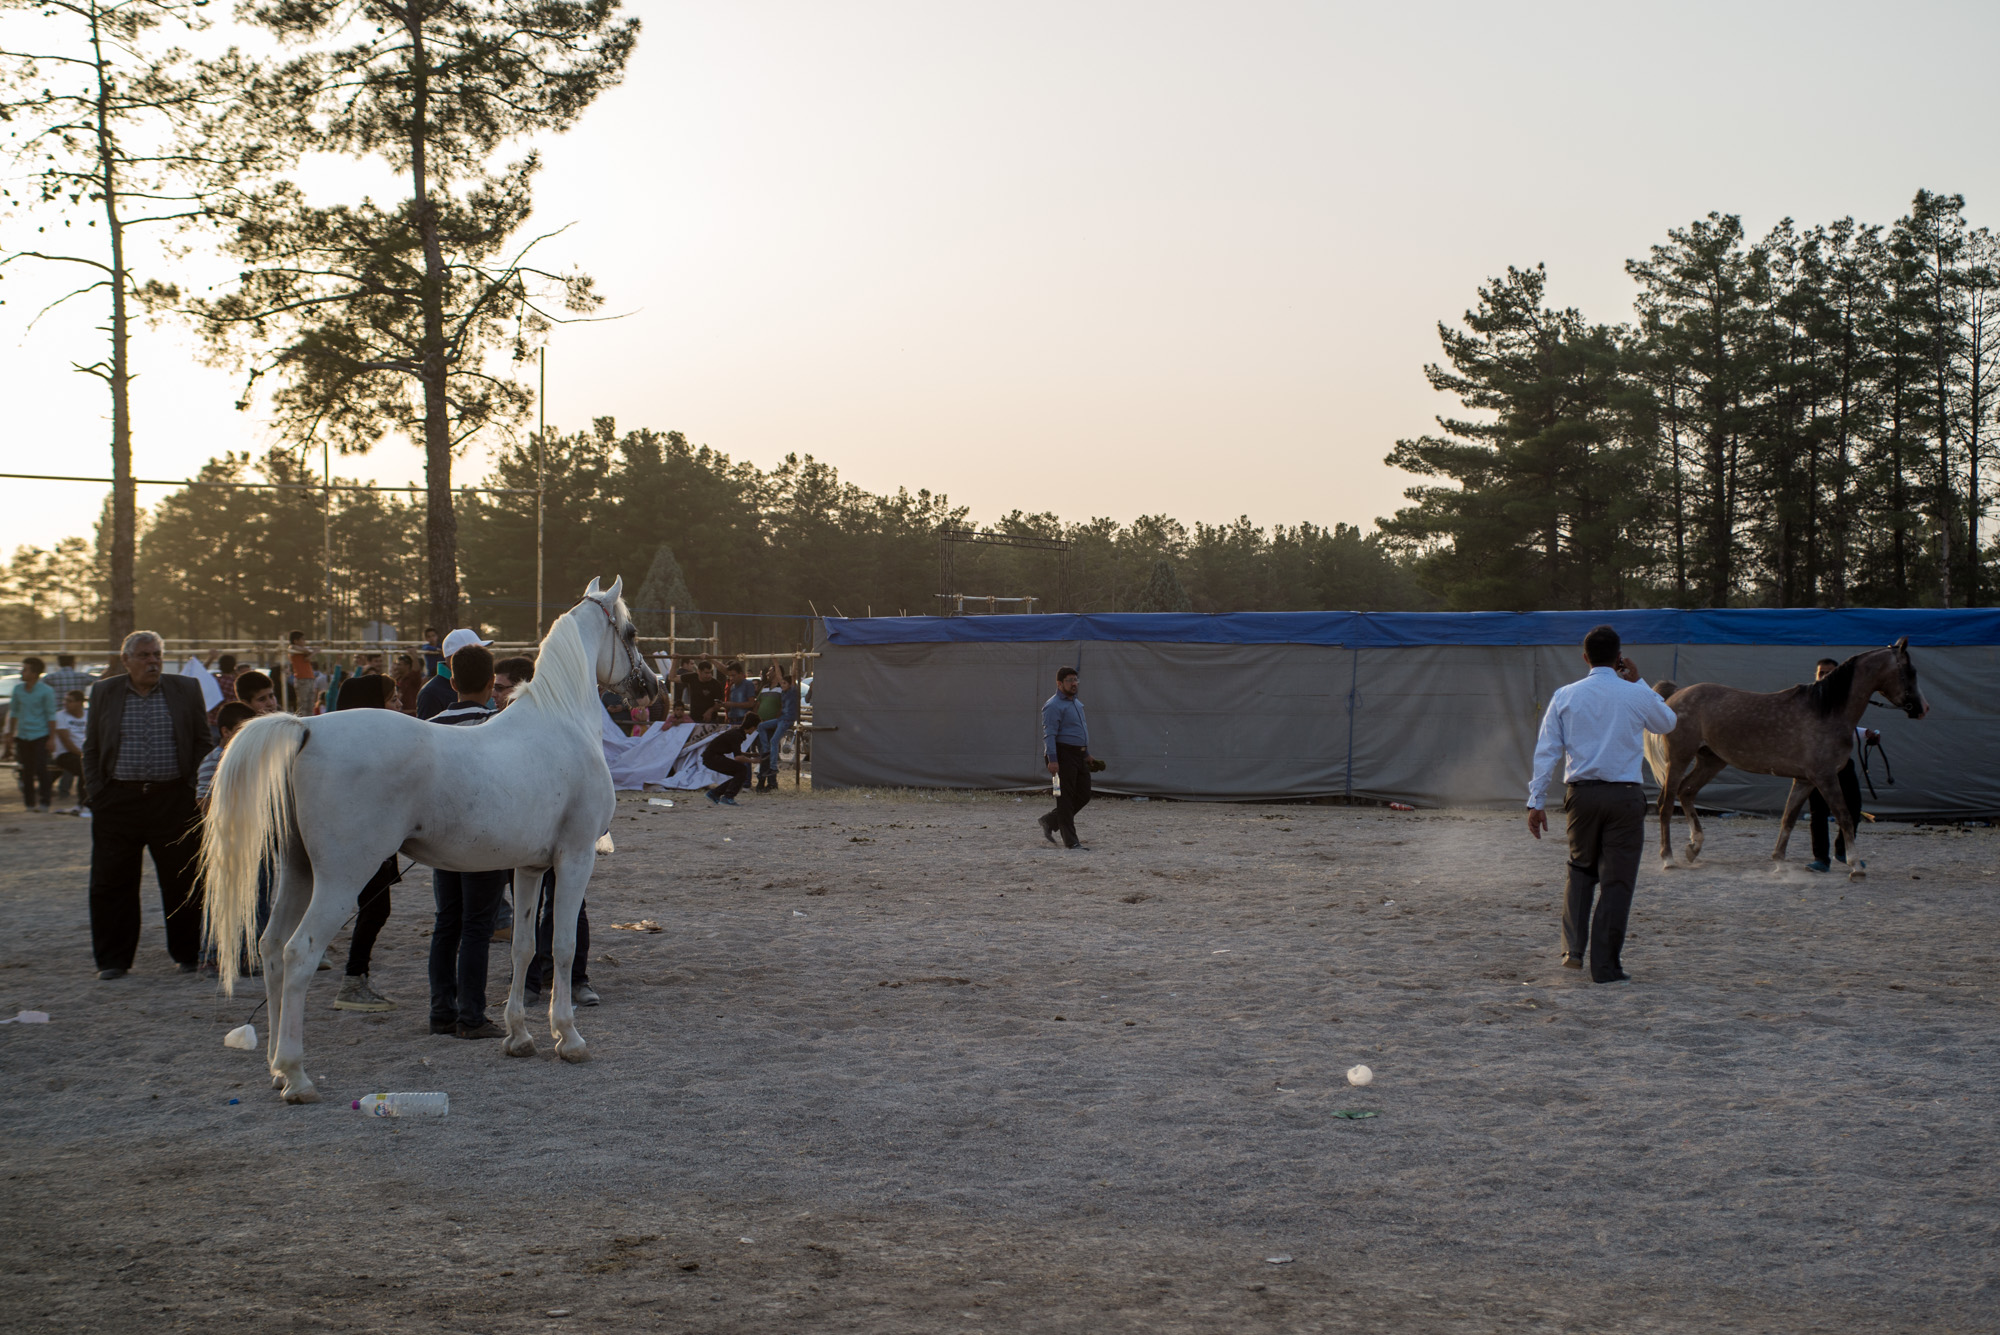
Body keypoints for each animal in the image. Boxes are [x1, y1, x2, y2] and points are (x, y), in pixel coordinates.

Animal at [203, 579, 660, 1103]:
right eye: (631, 631)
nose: (653, 687)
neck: (560, 721)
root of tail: (308, 727)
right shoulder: (576, 858)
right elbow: (561, 946)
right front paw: (569, 1037)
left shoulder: (529, 867)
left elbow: (523, 947)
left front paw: (519, 1037)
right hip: (341, 879)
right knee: (300, 953)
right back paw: (297, 1077)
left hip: (298, 872)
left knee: (272, 947)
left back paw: (276, 1069)